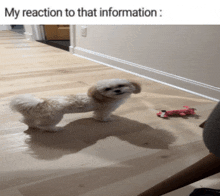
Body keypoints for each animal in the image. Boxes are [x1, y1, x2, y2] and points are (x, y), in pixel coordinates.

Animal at [9, 78, 141, 132]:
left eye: (121, 85)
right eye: (107, 89)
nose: (117, 90)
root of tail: (39, 103)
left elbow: (96, 115)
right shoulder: (105, 109)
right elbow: (102, 116)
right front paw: (106, 120)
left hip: (33, 115)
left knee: (27, 121)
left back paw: (32, 126)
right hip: (54, 117)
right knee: (45, 126)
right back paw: (55, 129)